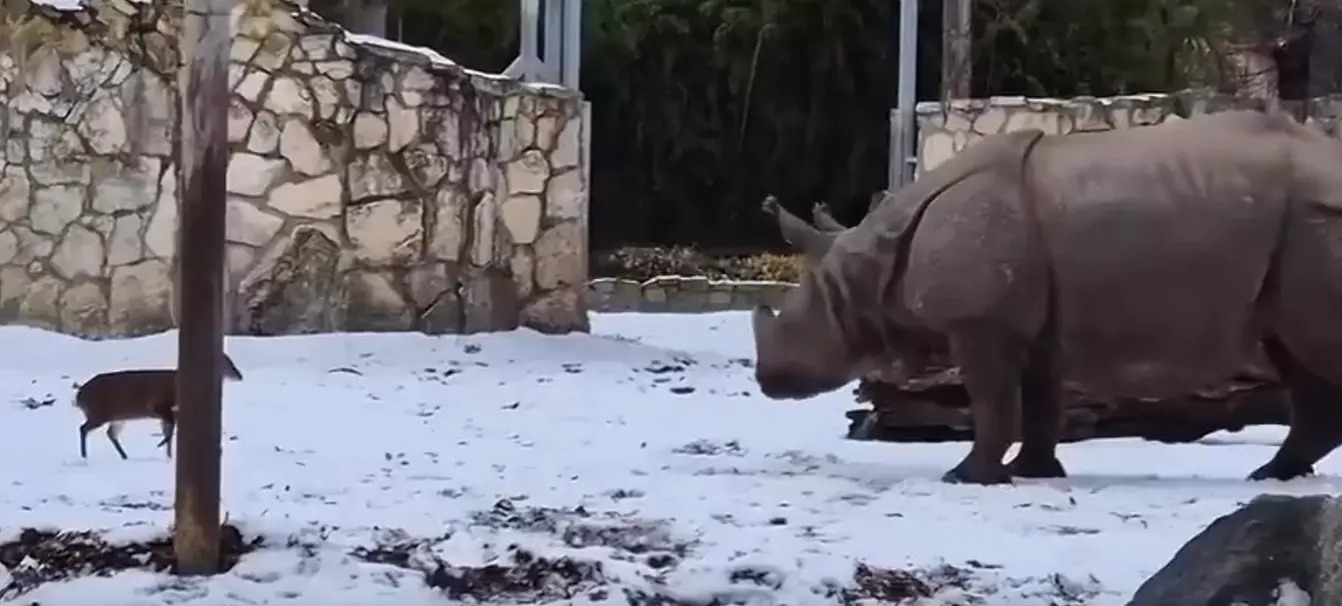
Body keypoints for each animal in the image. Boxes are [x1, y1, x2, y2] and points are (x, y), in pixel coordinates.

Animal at [76, 353, 244, 460]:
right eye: (227, 363)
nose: (240, 375)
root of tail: (78, 396)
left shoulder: (173, 412)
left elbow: (169, 432)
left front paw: (169, 456)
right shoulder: (157, 405)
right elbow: (169, 432)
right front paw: (161, 447)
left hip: (116, 417)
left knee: (110, 434)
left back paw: (124, 456)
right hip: (99, 412)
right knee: (83, 428)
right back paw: (84, 456)